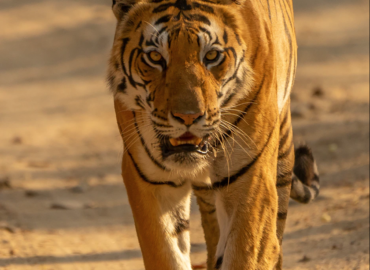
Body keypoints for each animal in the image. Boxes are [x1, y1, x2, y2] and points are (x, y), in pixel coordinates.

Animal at [107, 0, 320, 268]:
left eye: (211, 56)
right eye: (155, 57)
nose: (188, 117)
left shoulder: (251, 180)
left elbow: (246, 252)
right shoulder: (151, 181)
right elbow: (166, 254)